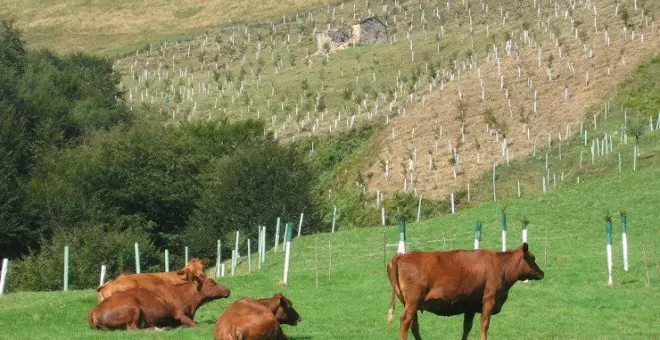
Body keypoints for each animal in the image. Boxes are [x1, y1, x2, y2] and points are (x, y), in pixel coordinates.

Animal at [87, 276, 231, 330]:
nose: (228, 290)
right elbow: (196, 324)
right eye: (212, 282)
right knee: (133, 329)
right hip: (133, 308)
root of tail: (93, 311)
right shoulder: (180, 314)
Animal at [384, 243, 544, 338]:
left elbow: (467, 327)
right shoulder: (489, 299)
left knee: (414, 326)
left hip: (410, 303)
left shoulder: (470, 305)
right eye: (533, 258)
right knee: (405, 322)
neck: (501, 265)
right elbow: (484, 325)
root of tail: (402, 255)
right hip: (412, 301)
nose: (542, 273)